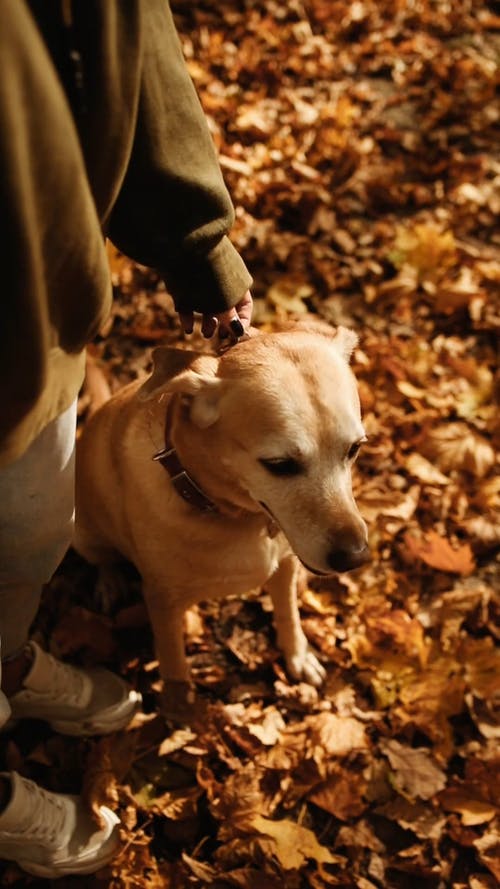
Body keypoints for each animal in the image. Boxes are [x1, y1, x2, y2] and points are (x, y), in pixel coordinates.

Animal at [75, 320, 372, 708]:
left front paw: (297, 654)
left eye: (354, 449)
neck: (233, 514)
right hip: (79, 531)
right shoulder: (161, 600)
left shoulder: (285, 566)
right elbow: (173, 662)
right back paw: (110, 581)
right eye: (279, 465)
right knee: (102, 559)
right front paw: (179, 711)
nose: (356, 557)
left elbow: (288, 613)